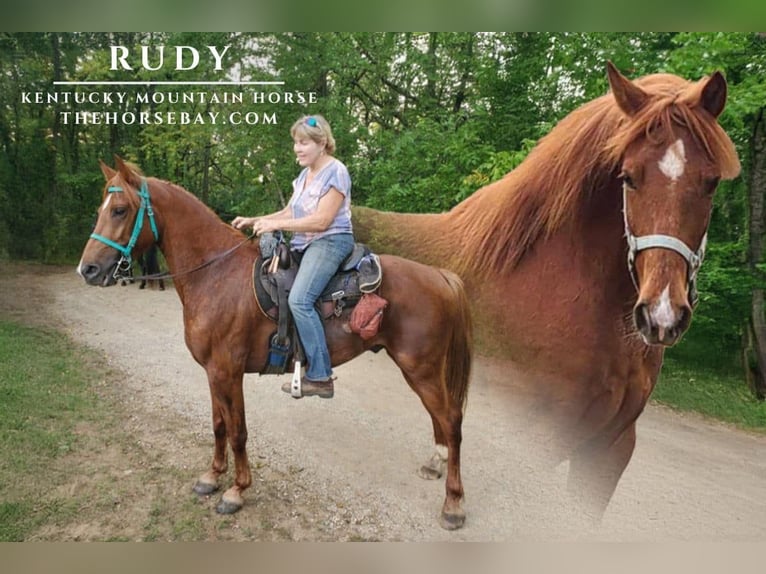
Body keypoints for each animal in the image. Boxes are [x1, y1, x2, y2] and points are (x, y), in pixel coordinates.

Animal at [76, 157, 473, 530]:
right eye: (101, 209)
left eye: (119, 210)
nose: (88, 270)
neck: (215, 275)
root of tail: (440, 276)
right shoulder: (212, 372)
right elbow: (218, 425)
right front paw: (212, 477)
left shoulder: (228, 371)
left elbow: (238, 432)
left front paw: (236, 491)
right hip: (420, 370)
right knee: (440, 419)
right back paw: (435, 463)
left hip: (420, 368)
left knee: (452, 420)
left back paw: (453, 504)